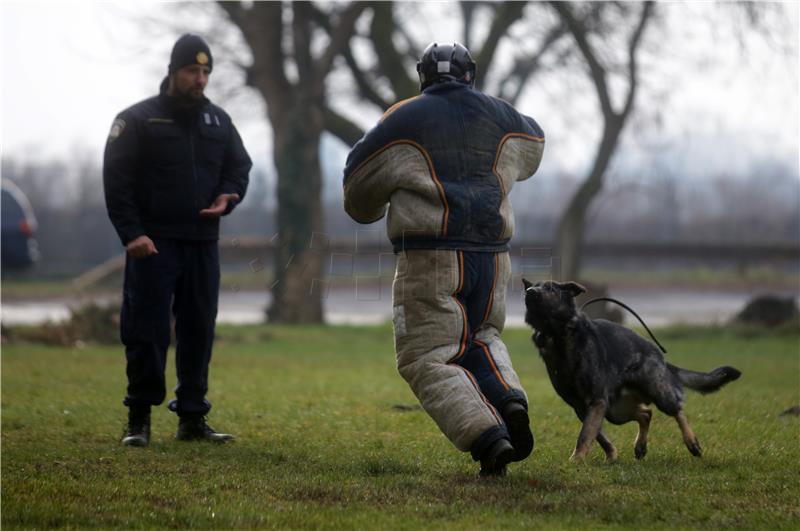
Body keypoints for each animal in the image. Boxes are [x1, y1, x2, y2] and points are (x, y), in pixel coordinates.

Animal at [520, 280, 740, 464]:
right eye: (535, 285)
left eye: (550, 288)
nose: (530, 291)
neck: (557, 334)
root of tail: (660, 356)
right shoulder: (582, 407)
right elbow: (598, 435)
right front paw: (611, 455)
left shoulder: (596, 401)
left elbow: (585, 434)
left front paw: (576, 460)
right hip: (616, 411)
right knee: (646, 414)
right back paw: (640, 447)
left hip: (658, 395)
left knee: (677, 410)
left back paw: (692, 443)